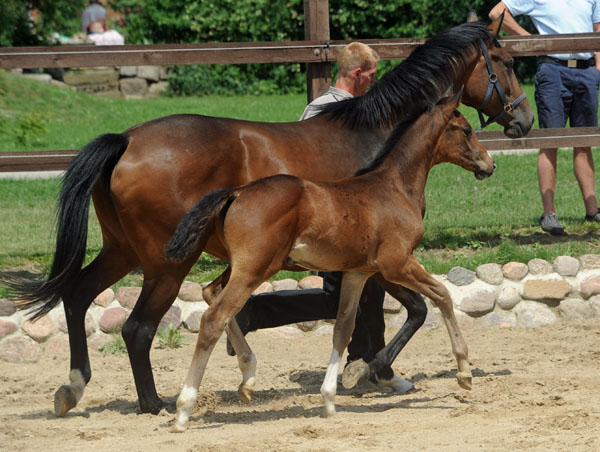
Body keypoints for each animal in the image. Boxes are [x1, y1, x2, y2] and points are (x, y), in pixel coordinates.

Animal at [166, 94, 494, 430]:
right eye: (466, 130)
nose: (490, 164)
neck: (394, 188)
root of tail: (237, 192)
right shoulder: (397, 264)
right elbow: (441, 295)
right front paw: (464, 372)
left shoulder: (358, 272)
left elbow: (344, 327)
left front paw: (329, 399)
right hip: (254, 268)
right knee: (213, 318)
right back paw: (184, 409)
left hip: (243, 266)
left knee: (210, 293)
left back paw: (247, 377)